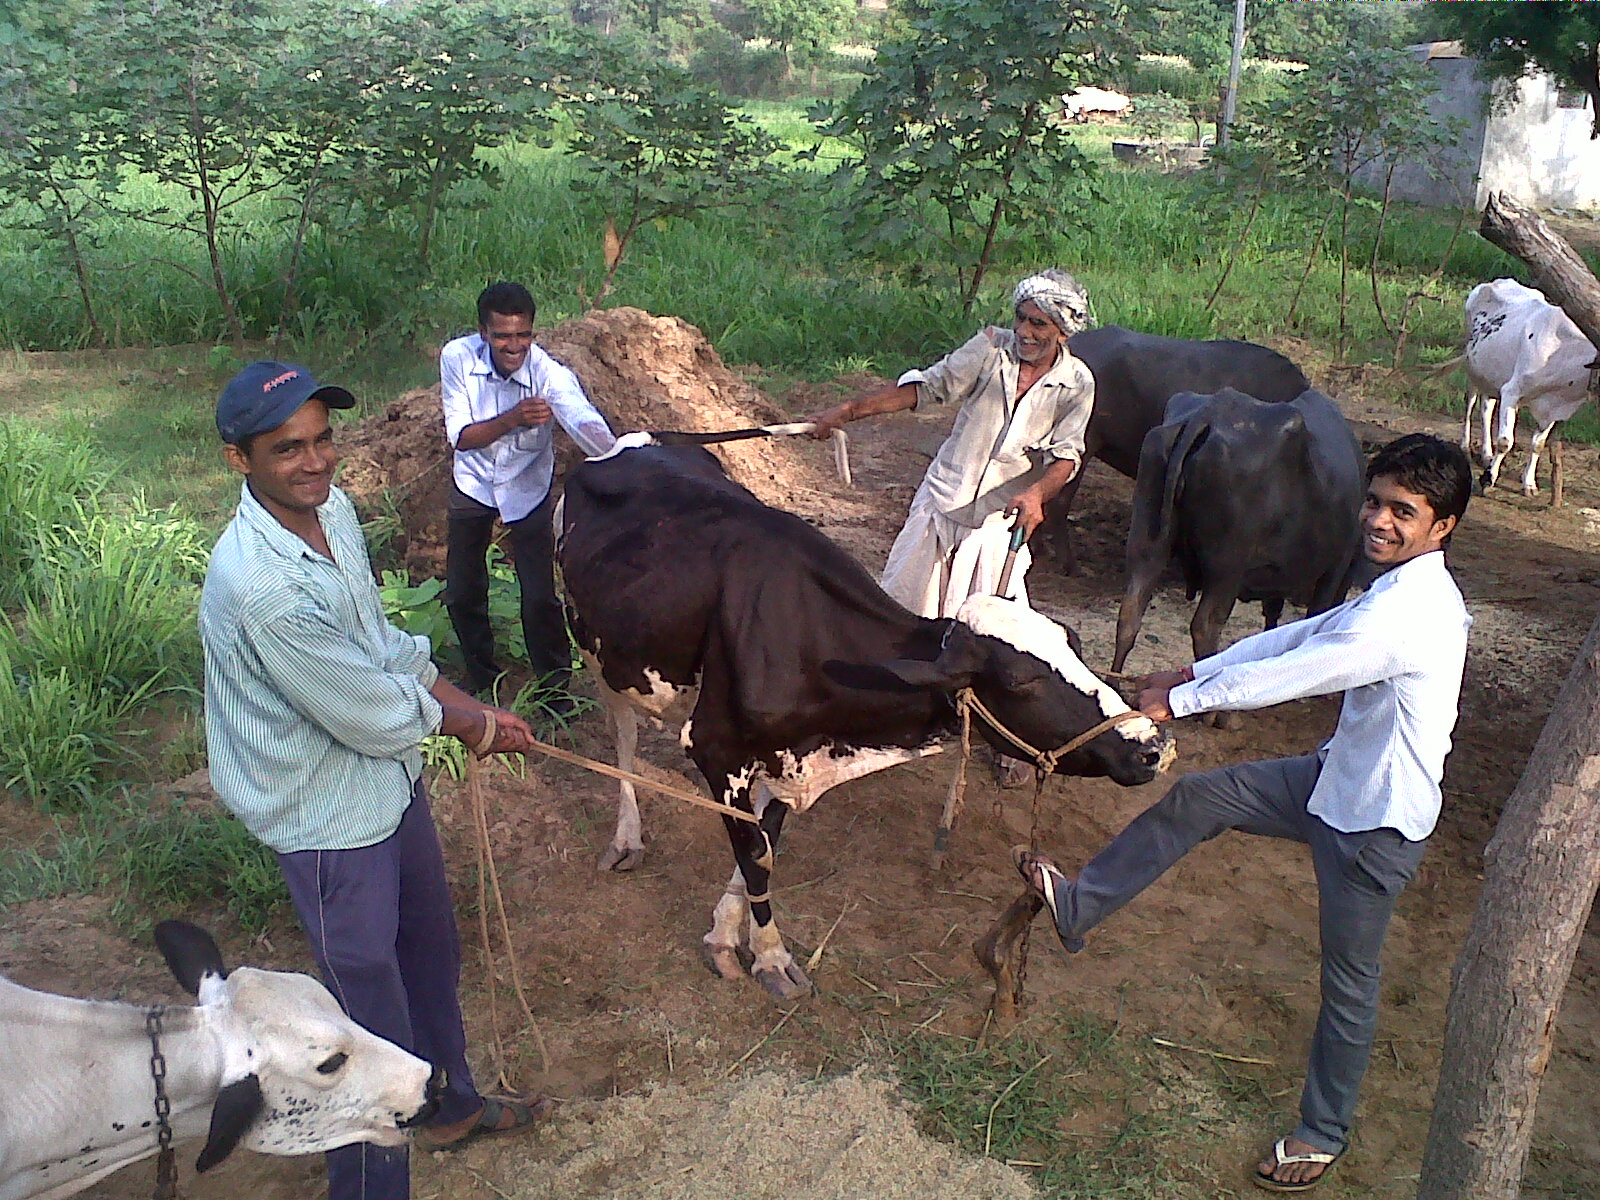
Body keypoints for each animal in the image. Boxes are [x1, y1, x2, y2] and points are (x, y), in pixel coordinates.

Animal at [563, 438, 1177, 998]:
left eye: (1073, 643)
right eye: (1021, 680)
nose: (1152, 745)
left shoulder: (790, 758)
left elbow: (765, 841)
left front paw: (728, 936)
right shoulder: (716, 748)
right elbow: (756, 856)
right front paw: (771, 957)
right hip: (597, 652)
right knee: (622, 739)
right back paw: (626, 838)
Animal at [1465, 278, 1593, 508]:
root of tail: (1496, 281)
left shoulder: (1551, 411)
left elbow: (1538, 445)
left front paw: (1529, 484)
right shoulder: (1511, 391)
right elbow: (1505, 442)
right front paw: (1488, 479)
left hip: (1489, 375)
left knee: (1486, 409)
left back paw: (1487, 454)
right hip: (1472, 367)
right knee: (1470, 402)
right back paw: (1465, 447)